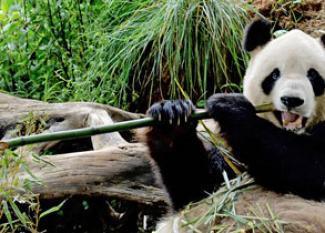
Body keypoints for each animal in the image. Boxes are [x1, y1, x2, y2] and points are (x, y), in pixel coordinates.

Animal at [144, 18, 325, 233]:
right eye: (274, 75)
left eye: (313, 75)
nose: (292, 100)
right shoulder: (227, 160)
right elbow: (193, 188)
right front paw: (172, 118)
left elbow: (310, 167)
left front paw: (230, 106)